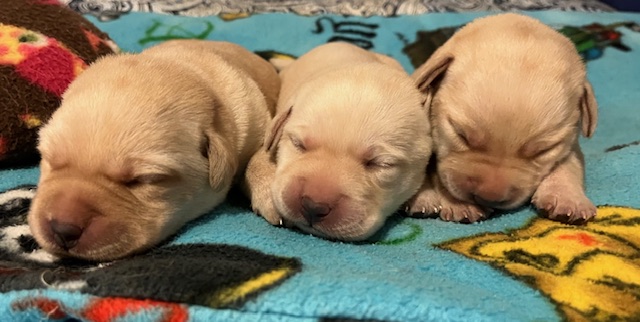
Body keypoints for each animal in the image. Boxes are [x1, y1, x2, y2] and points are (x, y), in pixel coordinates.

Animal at [408, 13, 596, 224]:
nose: (488, 197)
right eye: (461, 135)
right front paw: (459, 204)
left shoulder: (570, 145)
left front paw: (567, 198)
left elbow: (569, 164)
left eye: (543, 150)